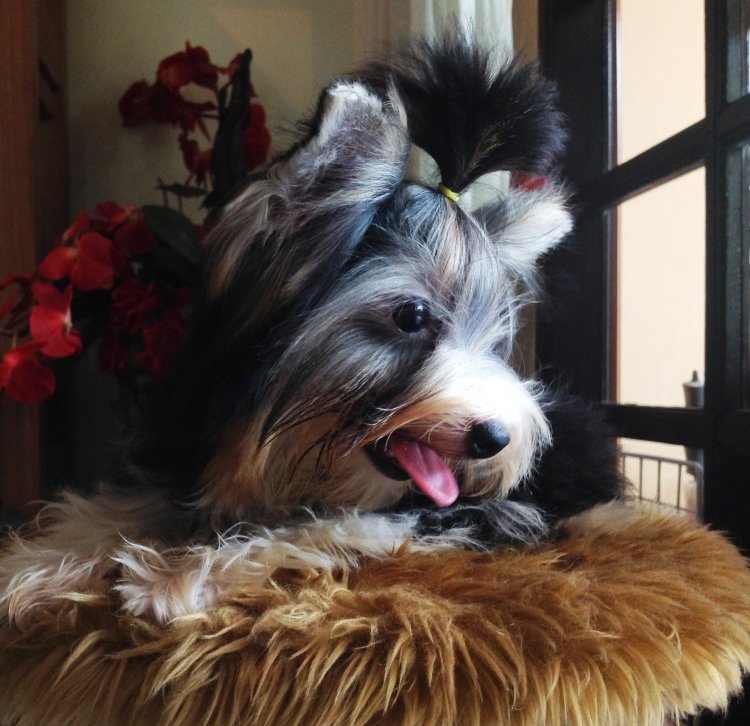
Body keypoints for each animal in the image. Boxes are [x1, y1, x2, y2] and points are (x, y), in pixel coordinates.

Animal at [0, 34, 622, 625]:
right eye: (412, 316)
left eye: (493, 344)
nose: (495, 438)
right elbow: (118, 505)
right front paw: (34, 563)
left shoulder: (440, 516)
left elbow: (308, 527)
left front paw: (174, 575)